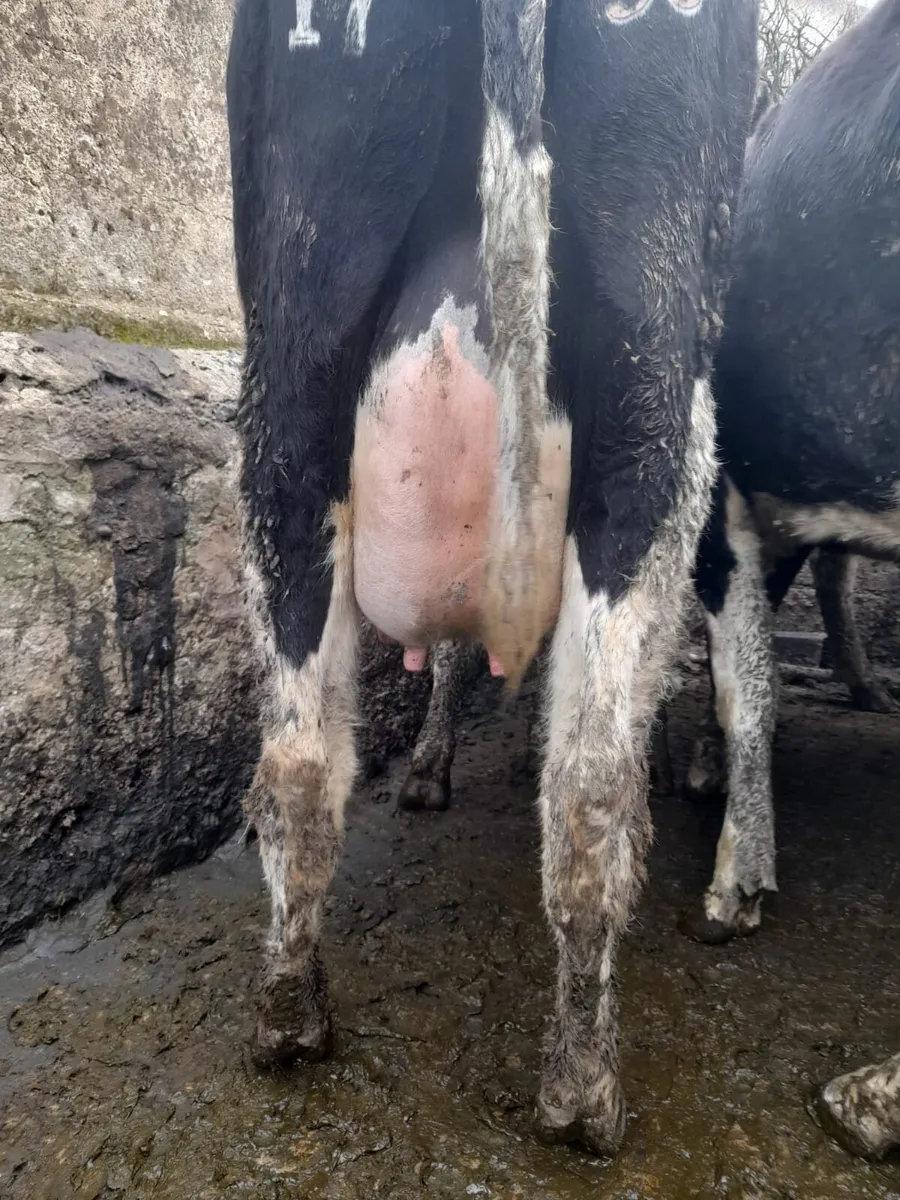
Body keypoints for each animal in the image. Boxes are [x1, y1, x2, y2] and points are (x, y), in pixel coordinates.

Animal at [226, 0, 759, 1156]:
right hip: (658, 408)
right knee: (593, 779)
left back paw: (291, 1019)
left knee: (296, 756)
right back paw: (584, 1097)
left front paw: (426, 771)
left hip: (288, 376)